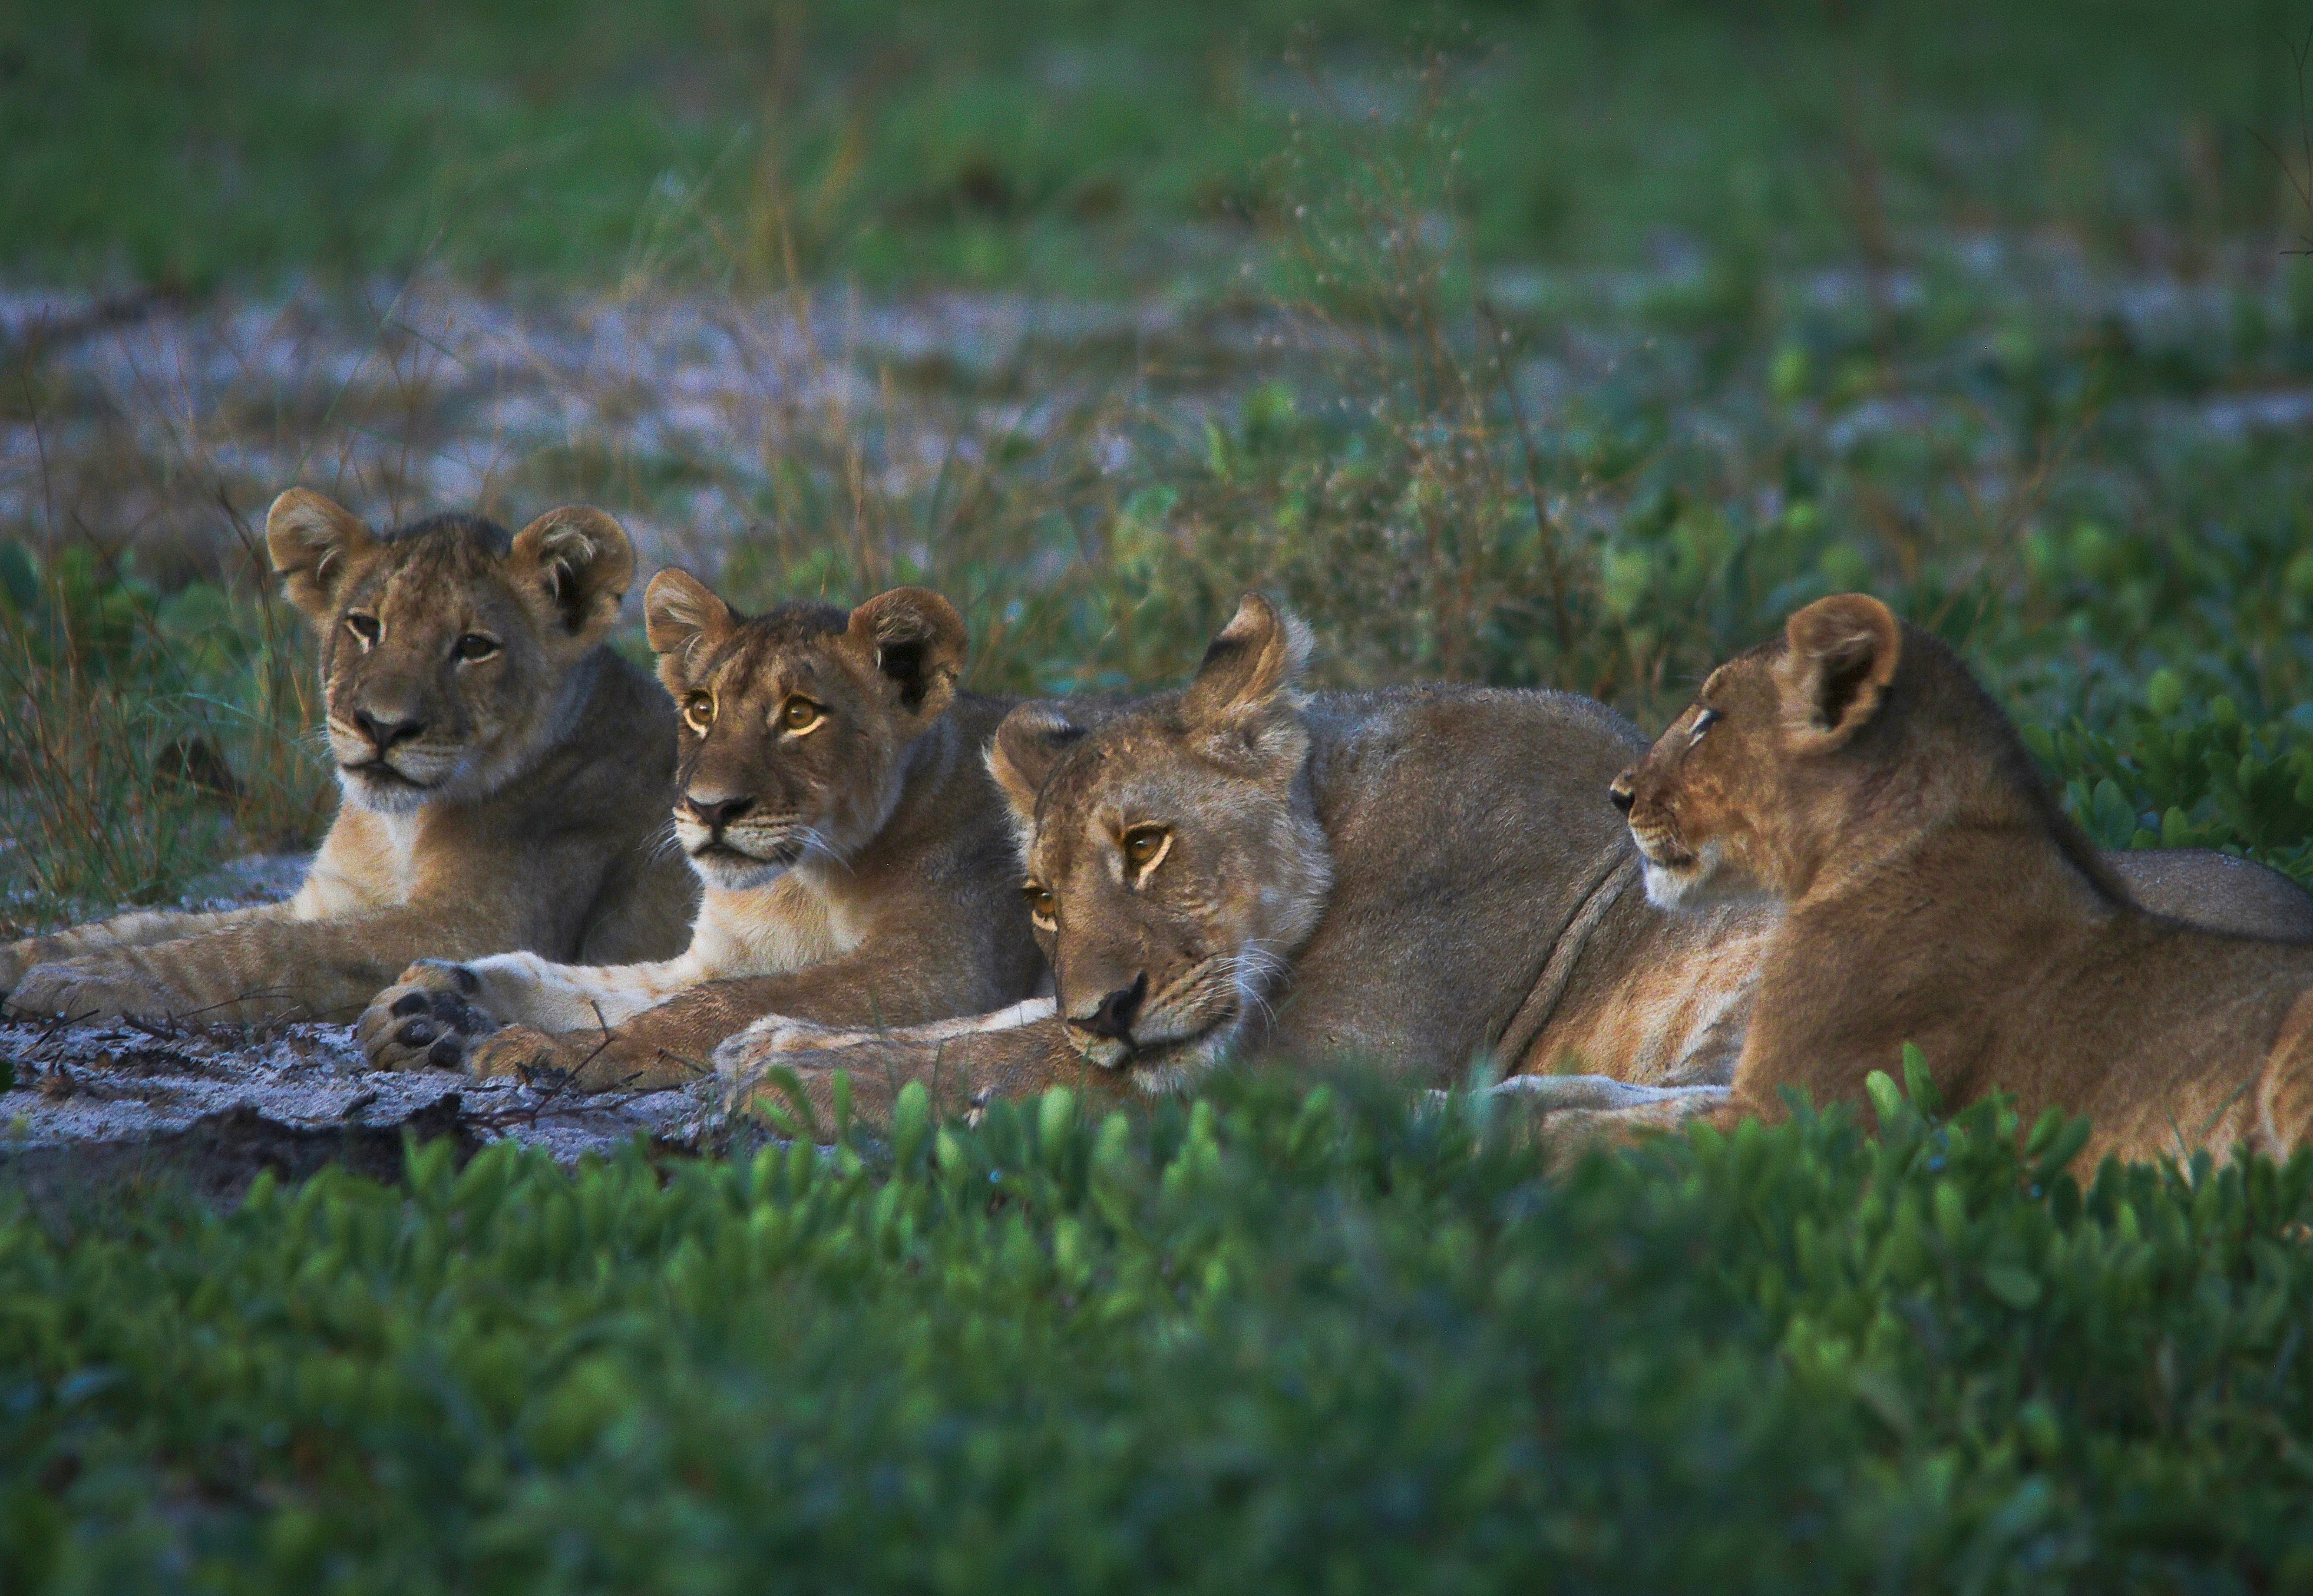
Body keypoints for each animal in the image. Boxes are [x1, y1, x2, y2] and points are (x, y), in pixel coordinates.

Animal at [0, 489, 696, 1027]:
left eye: (474, 646)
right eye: (366, 626)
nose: (383, 726)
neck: (398, 826)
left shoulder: (480, 930)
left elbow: (260, 949)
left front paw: (86, 981)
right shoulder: (328, 898)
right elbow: (148, 923)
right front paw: (32, 960)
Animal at [352, 570, 1045, 1091]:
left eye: (801, 715)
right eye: (701, 708)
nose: (710, 809)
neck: (806, 884)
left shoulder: (940, 971)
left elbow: (716, 1006)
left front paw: (554, 1051)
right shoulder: (713, 957)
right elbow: (600, 984)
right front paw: (434, 1000)